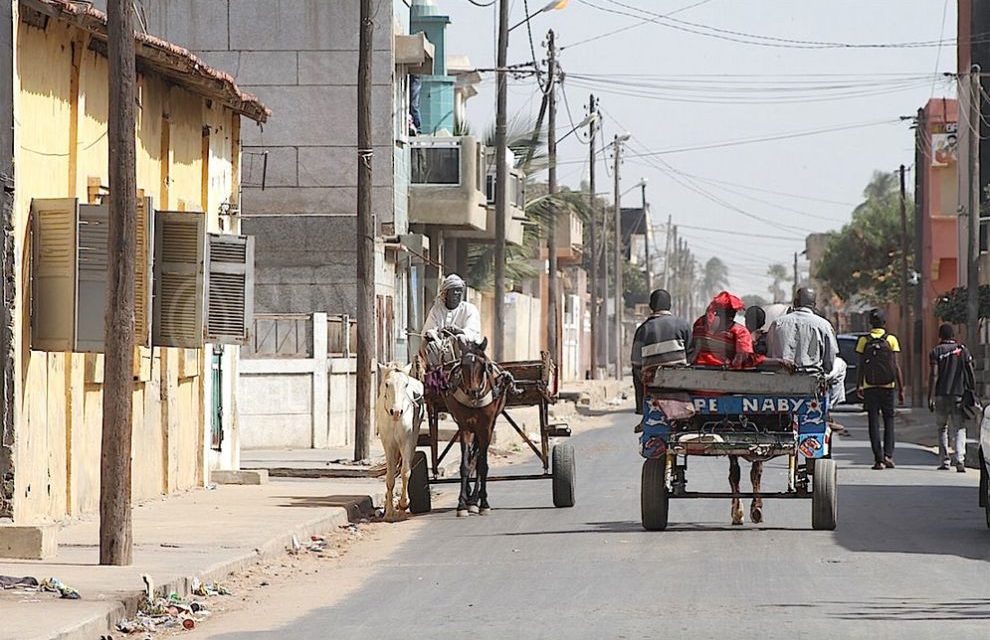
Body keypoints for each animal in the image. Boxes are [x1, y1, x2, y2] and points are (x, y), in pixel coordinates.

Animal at [378, 362, 424, 524]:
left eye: (406, 384)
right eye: (387, 384)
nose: (397, 412)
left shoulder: (407, 441)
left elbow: (405, 472)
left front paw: (403, 505)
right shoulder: (388, 444)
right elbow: (390, 477)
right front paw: (388, 511)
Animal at [446, 338, 516, 516]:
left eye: (483, 365)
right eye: (462, 365)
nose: (472, 392)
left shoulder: (486, 428)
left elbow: (482, 466)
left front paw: (483, 503)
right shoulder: (464, 427)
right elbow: (465, 465)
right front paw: (461, 504)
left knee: (478, 460)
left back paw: (474, 500)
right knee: (472, 458)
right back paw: (470, 498)